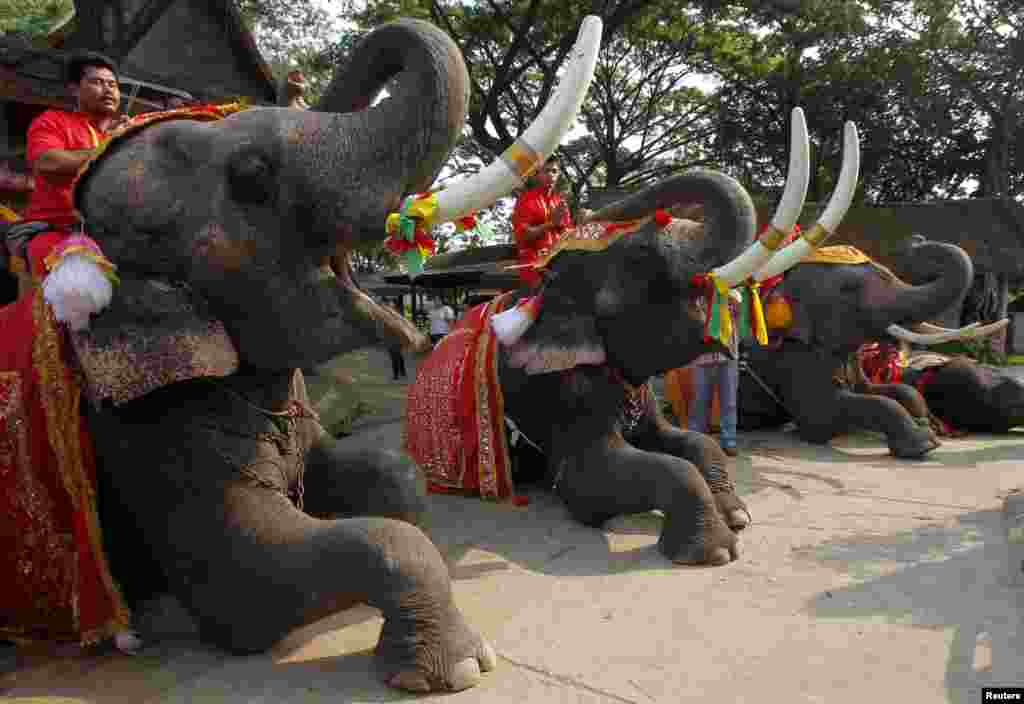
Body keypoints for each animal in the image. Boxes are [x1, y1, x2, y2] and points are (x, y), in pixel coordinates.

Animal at [2, 16, 598, 691]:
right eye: (252, 175)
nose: (294, 80)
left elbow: (389, 477)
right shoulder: (143, 423)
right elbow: (248, 582)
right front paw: (461, 667)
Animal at [407, 108, 864, 564]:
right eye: (642, 258)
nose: (577, 210)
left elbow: (695, 442)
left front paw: (737, 515)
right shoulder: (556, 391)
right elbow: (589, 482)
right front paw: (715, 551)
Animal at [737, 233, 974, 458]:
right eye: (849, 290)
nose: (916, 240)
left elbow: (886, 389)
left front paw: (927, 426)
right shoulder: (793, 357)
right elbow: (823, 417)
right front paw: (924, 445)